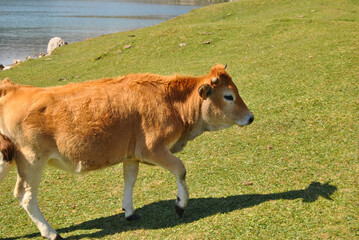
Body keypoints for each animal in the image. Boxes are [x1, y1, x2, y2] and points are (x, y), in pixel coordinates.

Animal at [0, 64, 253, 239]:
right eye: (228, 96)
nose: (251, 117)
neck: (172, 103)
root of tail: (12, 88)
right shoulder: (152, 148)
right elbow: (180, 169)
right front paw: (180, 204)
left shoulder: (132, 154)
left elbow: (129, 180)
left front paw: (129, 211)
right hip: (32, 160)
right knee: (25, 195)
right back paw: (50, 232)